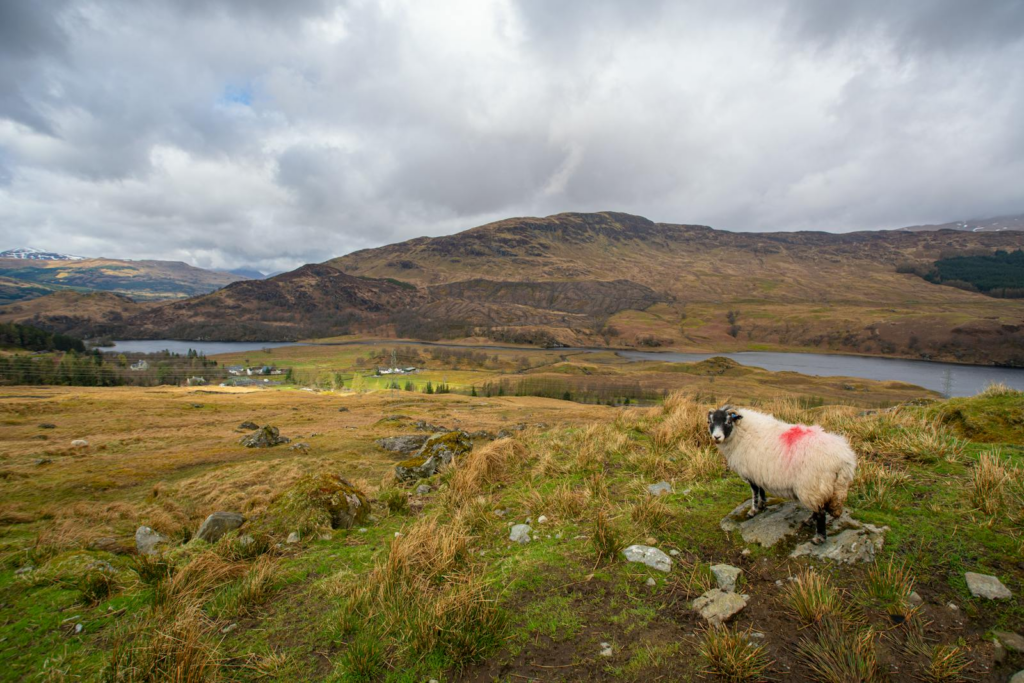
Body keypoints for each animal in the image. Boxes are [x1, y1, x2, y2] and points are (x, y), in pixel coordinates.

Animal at [707, 404, 857, 544]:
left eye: (728, 421)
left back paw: (818, 538)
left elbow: (755, 492)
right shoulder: (758, 471)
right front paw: (762, 505)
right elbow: (761, 490)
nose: (716, 437)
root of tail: (844, 459)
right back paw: (809, 521)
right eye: (711, 421)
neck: (741, 433)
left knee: (820, 511)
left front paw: (753, 511)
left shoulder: (750, 472)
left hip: (813, 486)